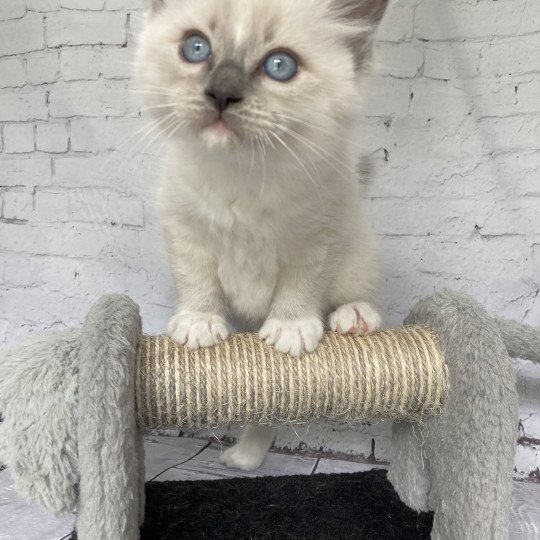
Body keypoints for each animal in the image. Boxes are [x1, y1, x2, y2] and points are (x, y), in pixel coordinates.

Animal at [135, 0, 388, 470]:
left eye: (280, 66)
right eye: (196, 48)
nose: (221, 93)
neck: (244, 172)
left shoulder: (319, 236)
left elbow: (301, 287)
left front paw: (289, 331)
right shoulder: (184, 228)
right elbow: (196, 281)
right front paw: (199, 324)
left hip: (356, 246)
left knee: (350, 294)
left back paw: (354, 319)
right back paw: (243, 459)